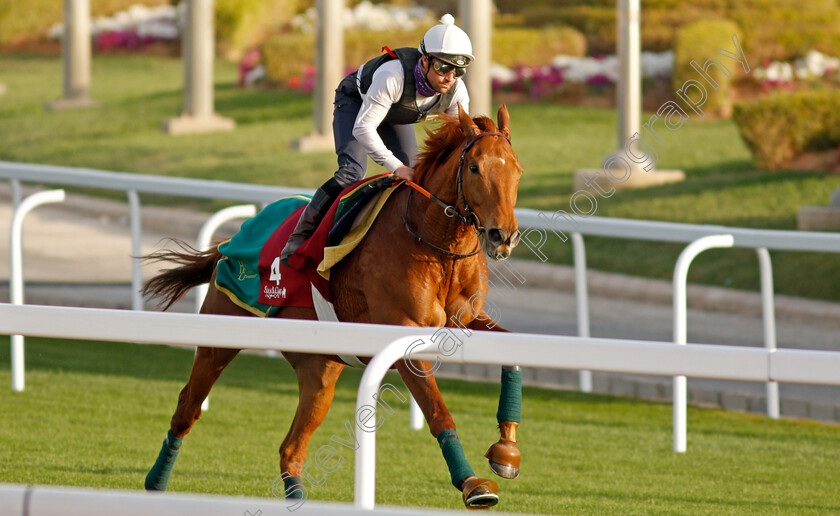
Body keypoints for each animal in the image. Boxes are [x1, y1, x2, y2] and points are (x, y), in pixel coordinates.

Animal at [145, 105, 524, 508]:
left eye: (517, 169)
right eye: (475, 168)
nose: (504, 235)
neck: (435, 244)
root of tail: (233, 239)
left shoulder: (464, 320)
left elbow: (512, 355)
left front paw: (506, 451)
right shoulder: (404, 335)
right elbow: (438, 411)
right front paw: (471, 483)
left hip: (319, 370)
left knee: (290, 449)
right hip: (220, 334)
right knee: (187, 409)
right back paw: (154, 484)